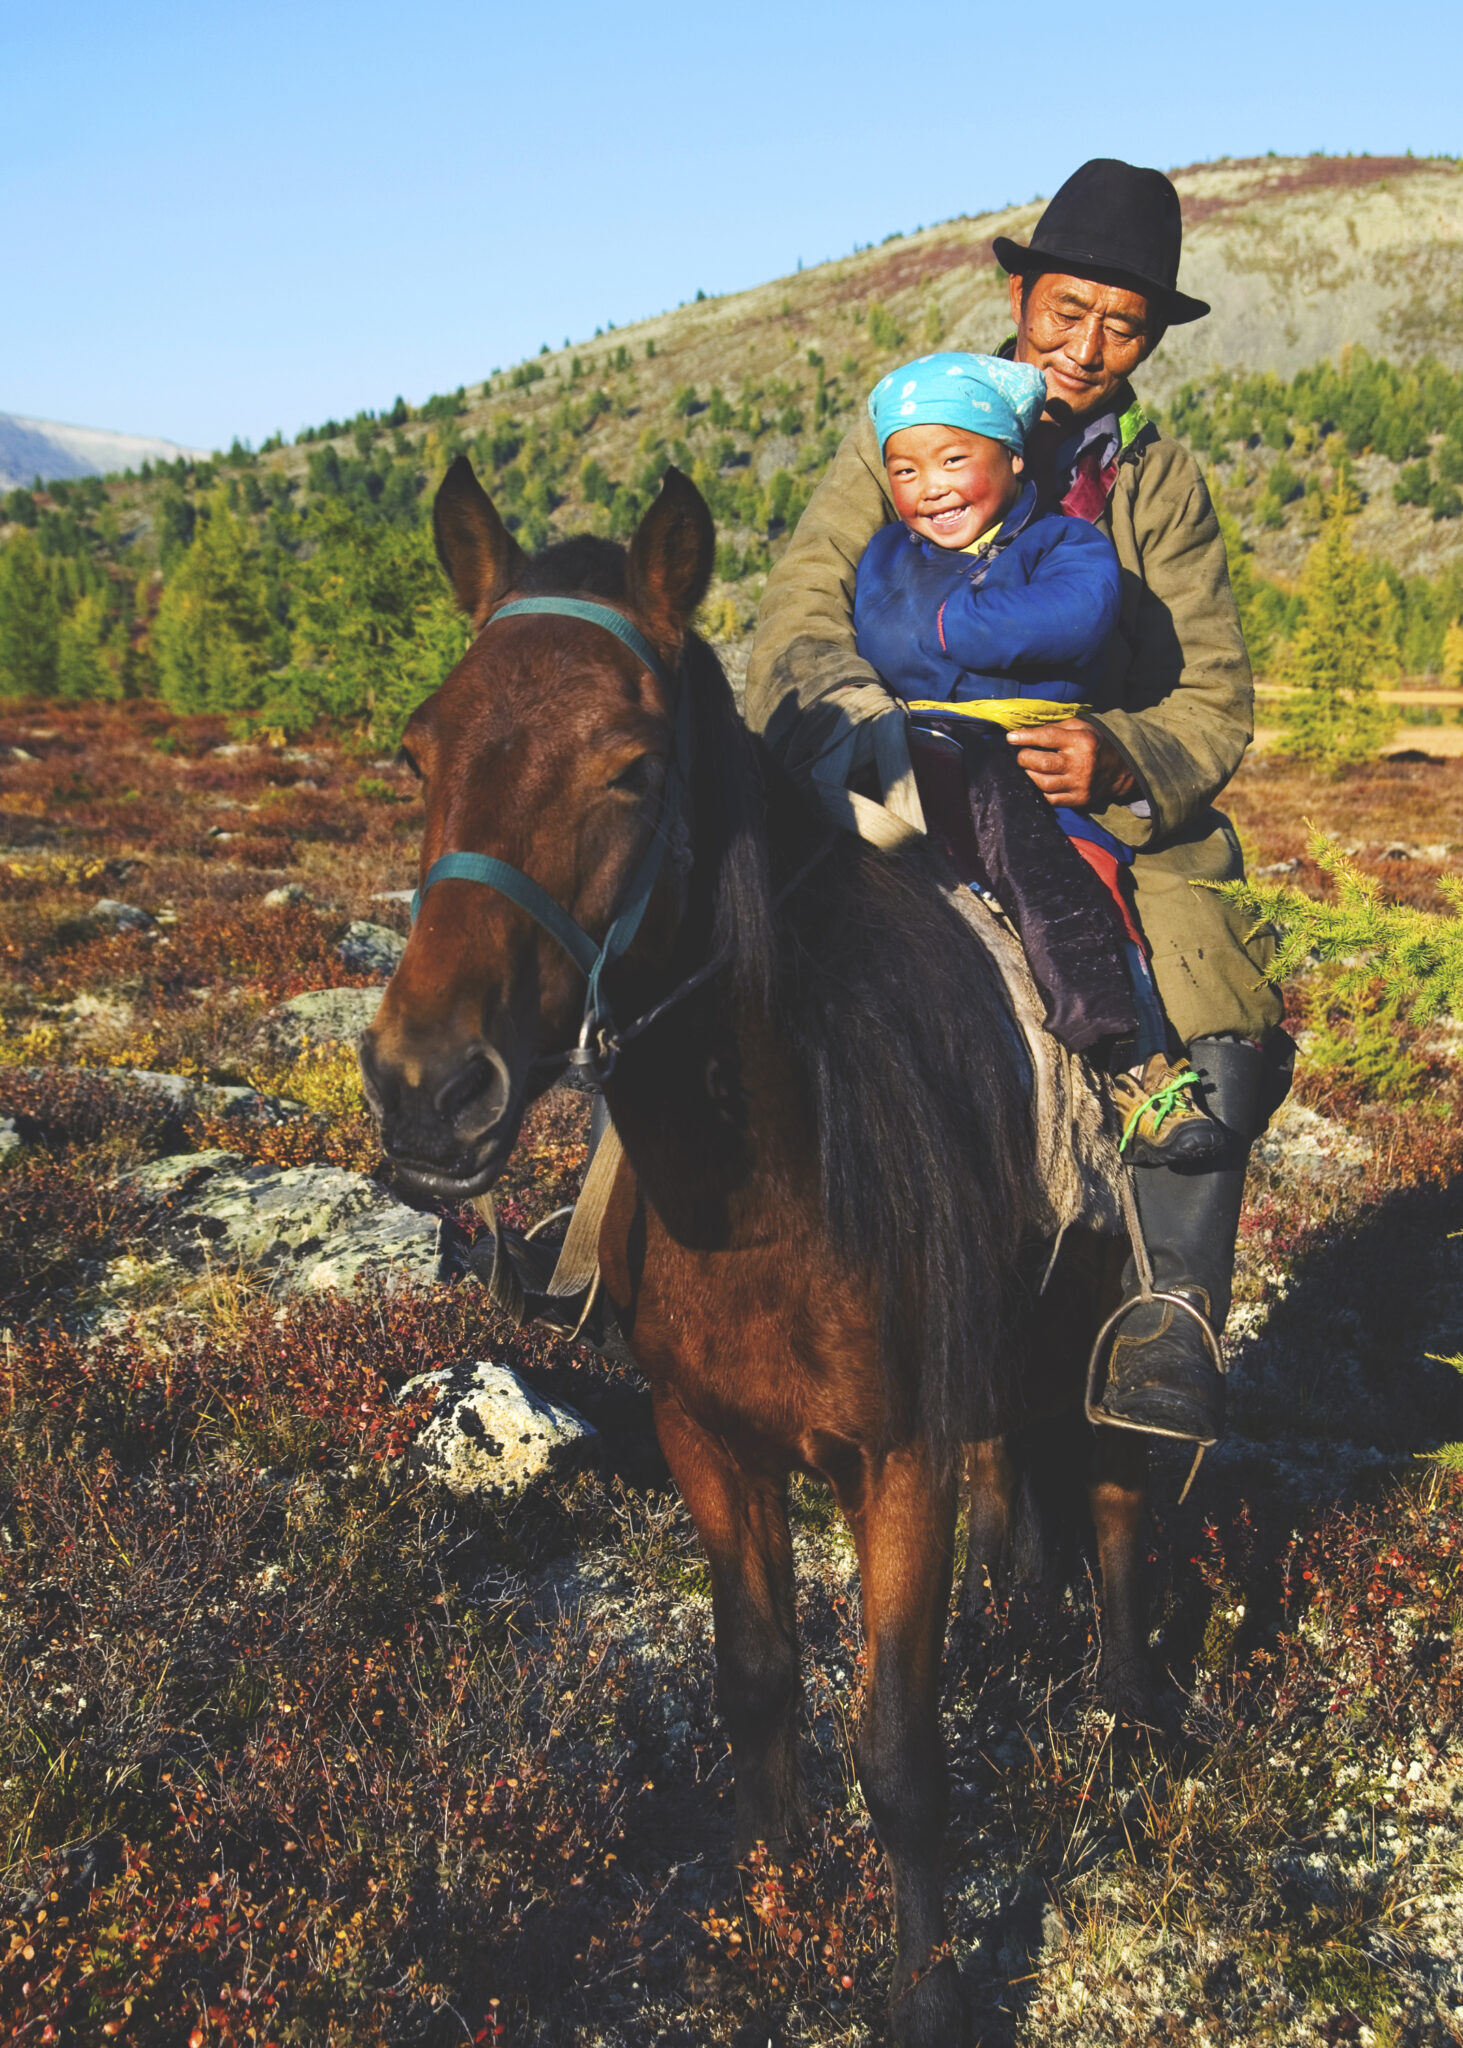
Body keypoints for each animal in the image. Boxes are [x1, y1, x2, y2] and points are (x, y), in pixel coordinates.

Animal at [358, 456, 1147, 2039]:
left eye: (631, 766)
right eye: (417, 751)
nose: (425, 1087)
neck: (775, 1187)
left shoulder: (891, 1462)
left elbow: (896, 1750)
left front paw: (926, 1989)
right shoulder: (707, 1441)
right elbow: (757, 1681)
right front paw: (768, 1905)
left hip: (1093, 1329)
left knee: (1108, 1495)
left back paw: (1127, 1714)